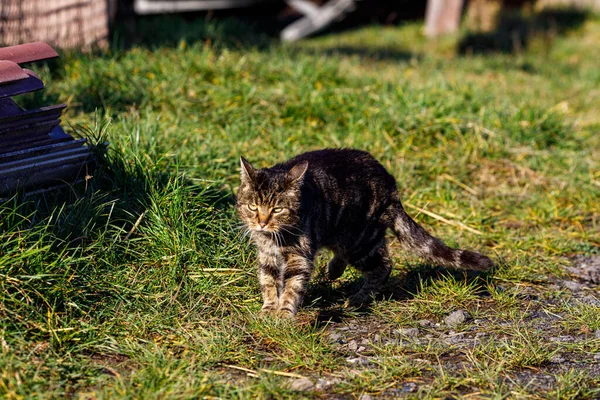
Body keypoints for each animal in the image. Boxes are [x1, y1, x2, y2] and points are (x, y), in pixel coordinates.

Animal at [237, 148, 494, 318]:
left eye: (277, 209)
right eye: (252, 207)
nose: (261, 222)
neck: (274, 237)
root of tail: (391, 184)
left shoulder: (299, 255)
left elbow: (292, 286)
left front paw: (283, 313)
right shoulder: (267, 255)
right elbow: (268, 281)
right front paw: (269, 308)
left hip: (361, 241)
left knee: (384, 265)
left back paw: (357, 299)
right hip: (344, 234)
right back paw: (334, 270)